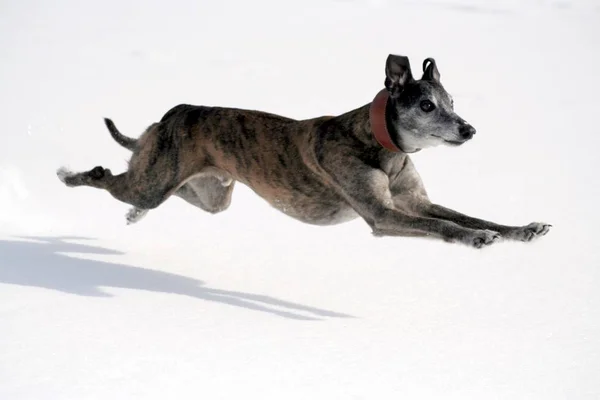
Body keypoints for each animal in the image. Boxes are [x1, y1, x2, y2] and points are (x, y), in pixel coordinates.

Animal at [57, 53, 552, 247]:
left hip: (211, 192)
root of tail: (172, 114)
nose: (469, 130)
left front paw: (522, 229)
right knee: (110, 178)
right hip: (157, 179)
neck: (383, 147)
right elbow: (444, 226)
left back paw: (133, 215)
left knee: (154, 188)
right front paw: (475, 238)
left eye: (452, 101)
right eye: (427, 105)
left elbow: (467, 214)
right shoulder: (384, 216)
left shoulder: (415, 201)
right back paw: (72, 176)